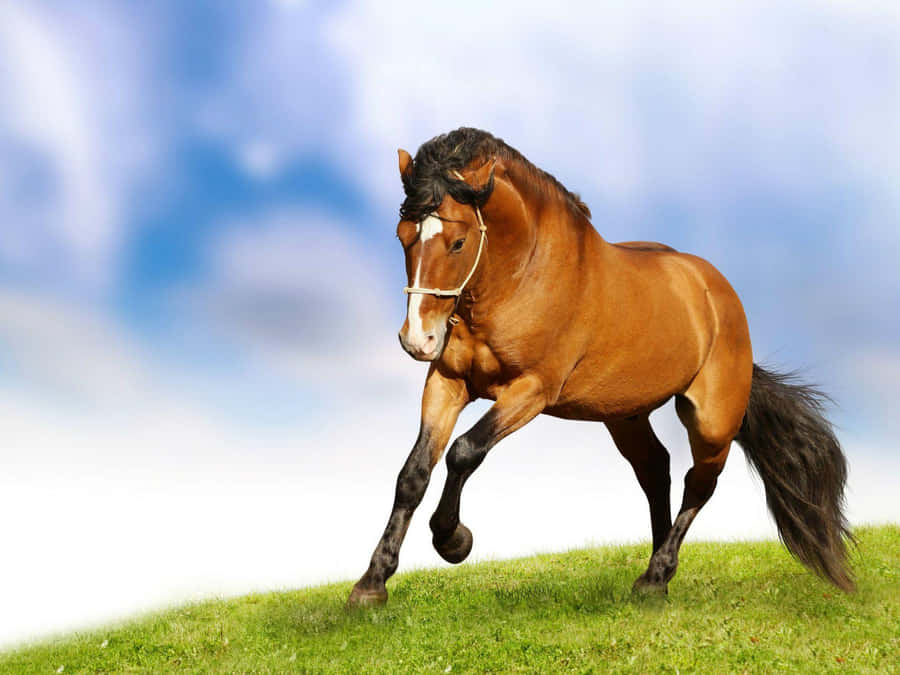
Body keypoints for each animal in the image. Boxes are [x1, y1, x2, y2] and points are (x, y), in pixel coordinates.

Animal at [348, 127, 853, 607]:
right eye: (402, 236)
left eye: (457, 242)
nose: (418, 340)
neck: (521, 276)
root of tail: (717, 292)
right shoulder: (448, 382)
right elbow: (414, 473)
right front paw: (371, 585)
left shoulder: (531, 390)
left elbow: (464, 451)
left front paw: (454, 540)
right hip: (625, 414)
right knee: (656, 470)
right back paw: (657, 576)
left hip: (712, 420)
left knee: (699, 483)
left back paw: (655, 576)